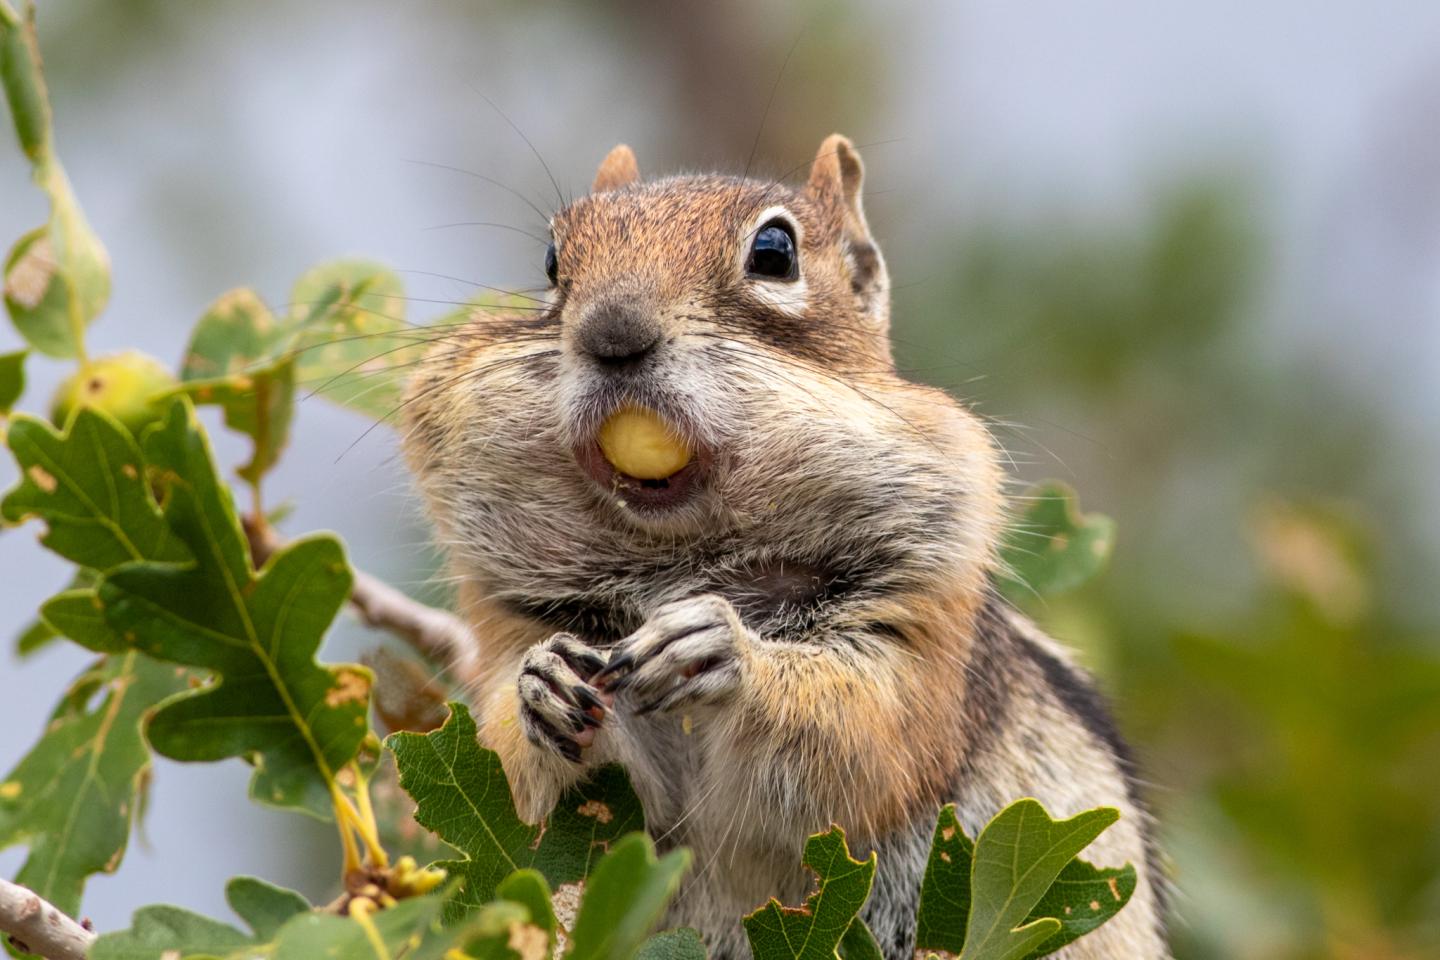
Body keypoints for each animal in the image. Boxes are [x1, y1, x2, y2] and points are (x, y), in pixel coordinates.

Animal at [401, 134, 1169, 959]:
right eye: (550, 259)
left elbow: (856, 736)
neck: (678, 554)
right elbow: (532, 782)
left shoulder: (916, 623)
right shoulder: (517, 623)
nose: (612, 332)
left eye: (775, 252)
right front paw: (540, 683)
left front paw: (723, 651)